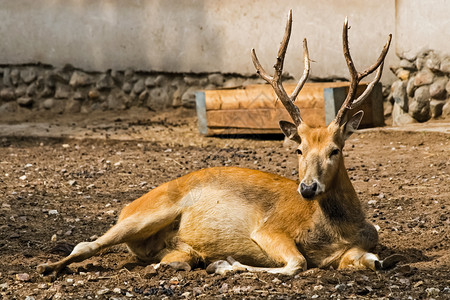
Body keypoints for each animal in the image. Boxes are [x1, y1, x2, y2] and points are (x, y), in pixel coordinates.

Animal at [37, 9, 400, 276]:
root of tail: (127, 205)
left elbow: (373, 261)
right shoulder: (269, 229)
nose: (308, 188)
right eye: (299, 149)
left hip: (169, 243)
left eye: (335, 150)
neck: (335, 231)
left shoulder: (362, 246)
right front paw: (227, 264)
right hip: (145, 214)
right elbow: (297, 263)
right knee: (87, 244)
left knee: (172, 258)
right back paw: (47, 266)